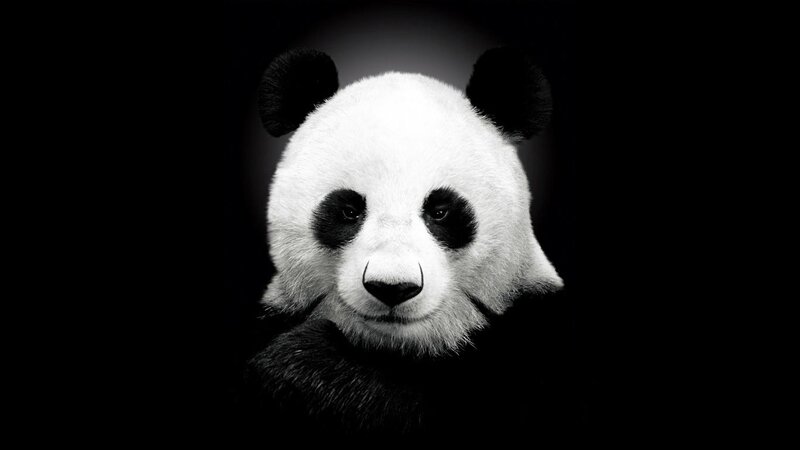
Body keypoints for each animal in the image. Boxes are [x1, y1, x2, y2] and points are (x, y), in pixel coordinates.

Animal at [242, 48, 573, 439]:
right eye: (349, 210)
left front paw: (304, 364)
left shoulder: (534, 337)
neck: (397, 349)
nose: (393, 287)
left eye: (441, 211)